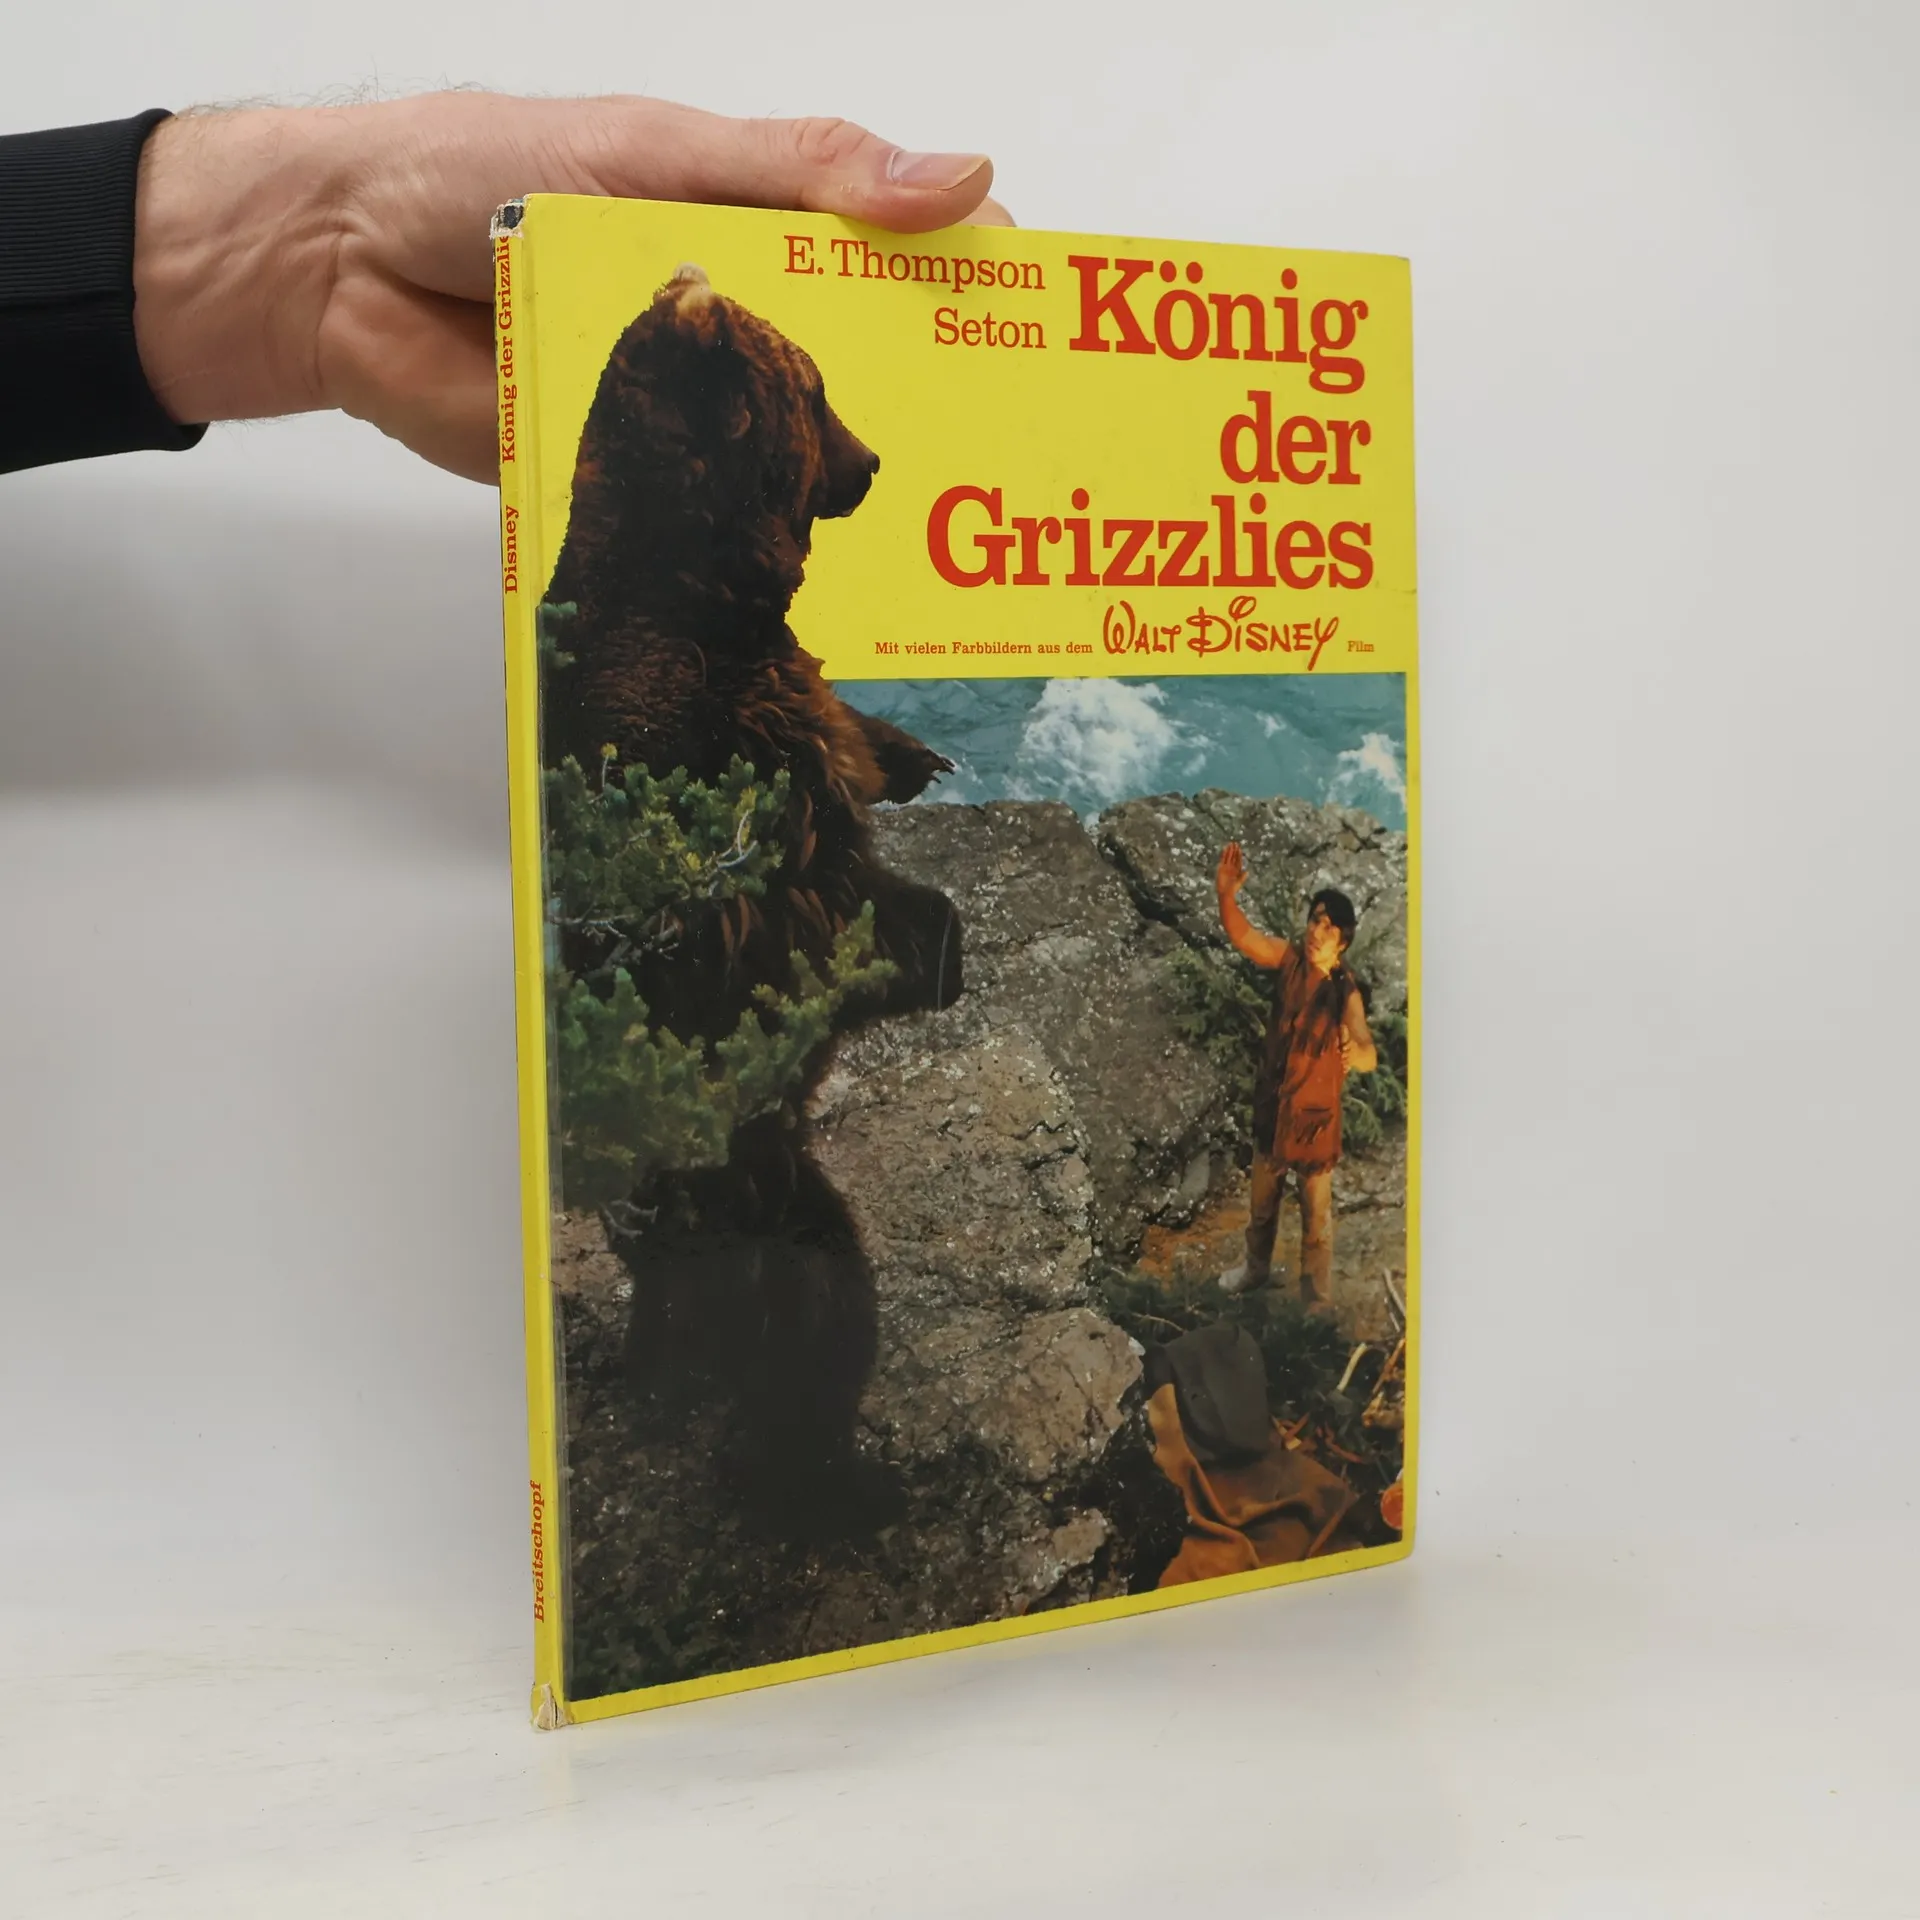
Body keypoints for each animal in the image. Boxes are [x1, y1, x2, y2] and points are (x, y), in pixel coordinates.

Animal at [540, 266, 962, 1533]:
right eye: (818, 389)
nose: (871, 462)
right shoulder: (758, 771)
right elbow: (855, 906)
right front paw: (940, 935)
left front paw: (922, 753)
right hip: (769, 1203)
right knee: (820, 1323)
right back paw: (843, 1481)